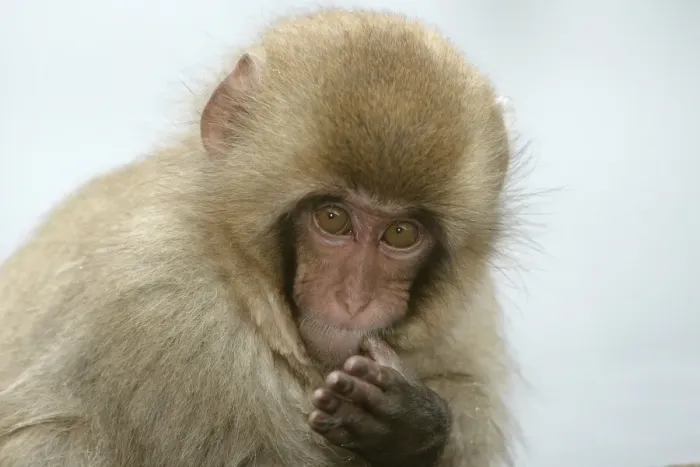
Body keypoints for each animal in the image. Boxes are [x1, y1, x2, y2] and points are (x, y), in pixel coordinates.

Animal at [0, 7, 517, 467]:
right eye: (332, 218)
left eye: (401, 232)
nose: (354, 300)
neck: (238, 272)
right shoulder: (170, 318)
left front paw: (409, 428)